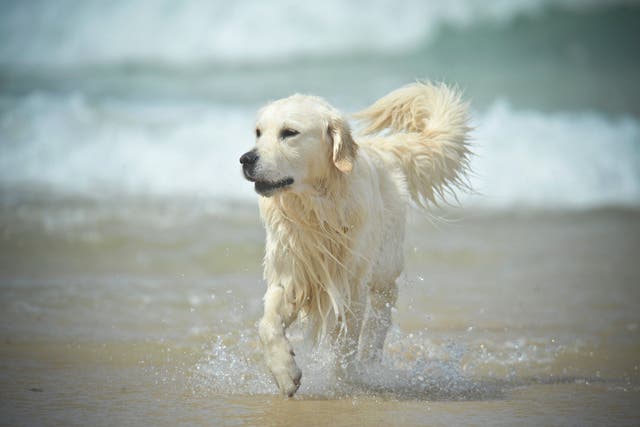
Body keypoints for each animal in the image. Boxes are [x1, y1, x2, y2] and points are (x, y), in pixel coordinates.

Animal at [240, 82, 470, 396]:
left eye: (289, 132)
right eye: (258, 132)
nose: (245, 159)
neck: (316, 209)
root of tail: (383, 147)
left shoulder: (349, 285)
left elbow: (345, 342)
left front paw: (344, 381)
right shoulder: (291, 273)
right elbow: (267, 325)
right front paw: (285, 373)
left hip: (384, 267)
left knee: (380, 313)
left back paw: (369, 361)